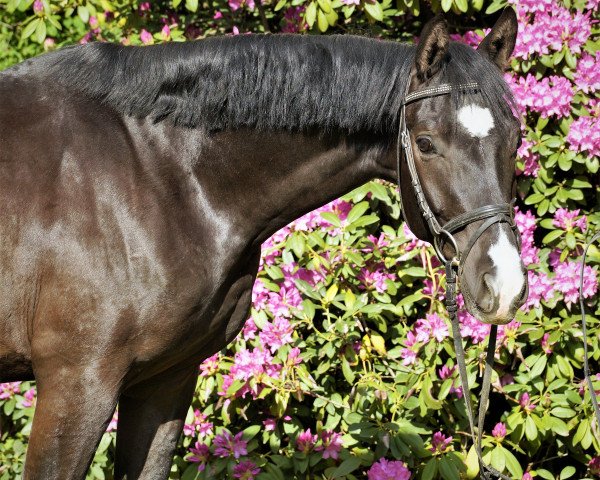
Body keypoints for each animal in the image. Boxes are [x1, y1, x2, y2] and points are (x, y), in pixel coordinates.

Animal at [0, 8, 524, 480]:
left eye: (516, 139)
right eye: (426, 142)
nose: (505, 284)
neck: (154, 177)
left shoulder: (165, 379)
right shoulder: (76, 384)